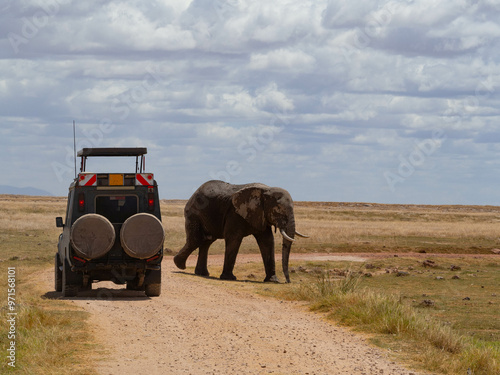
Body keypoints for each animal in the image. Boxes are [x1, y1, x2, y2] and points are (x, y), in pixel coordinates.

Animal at [175, 181, 308, 284]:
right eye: (278, 209)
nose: (288, 281)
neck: (265, 190)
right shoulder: (235, 213)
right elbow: (234, 239)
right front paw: (229, 278)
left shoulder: (260, 215)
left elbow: (267, 241)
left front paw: (272, 281)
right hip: (194, 214)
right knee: (196, 240)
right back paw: (179, 265)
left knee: (206, 241)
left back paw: (202, 273)